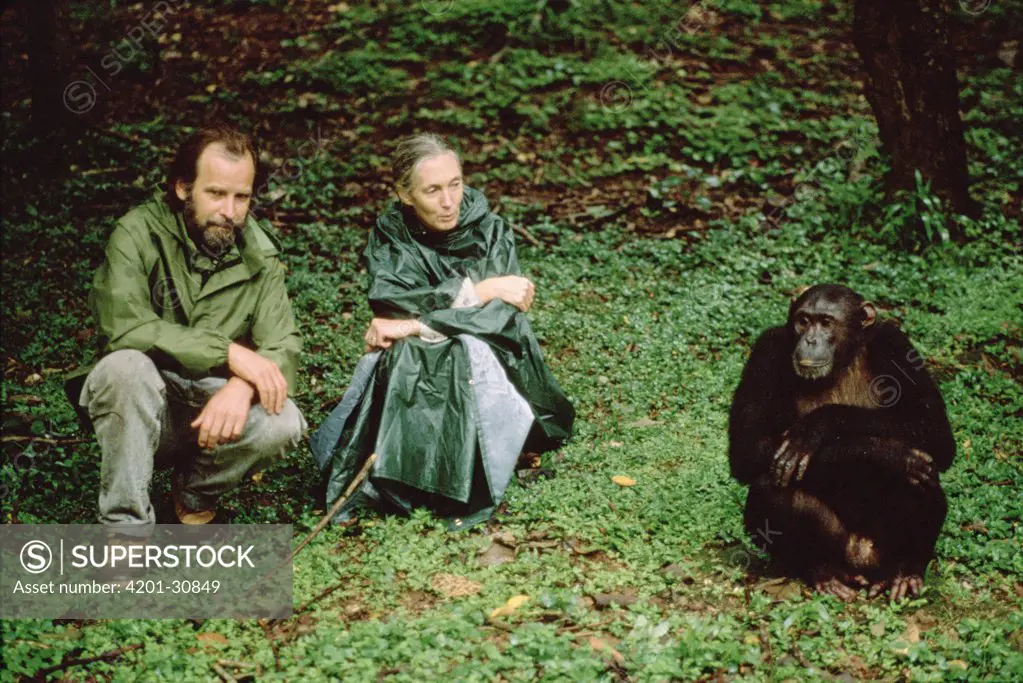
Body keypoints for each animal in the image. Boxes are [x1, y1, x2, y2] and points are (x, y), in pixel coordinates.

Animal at [728, 286, 957, 601]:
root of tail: (861, 563)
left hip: (880, 553)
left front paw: (818, 425)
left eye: (826, 322)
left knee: (922, 477)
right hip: (842, 550)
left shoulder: (896, 344)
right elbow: (749, 445)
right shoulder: (766, 352)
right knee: (770, 487)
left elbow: (936, 431)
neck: (843, 360)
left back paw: (904, 571)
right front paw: (884, 455)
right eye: (803, 321)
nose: (810, 340)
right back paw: (823, 573)